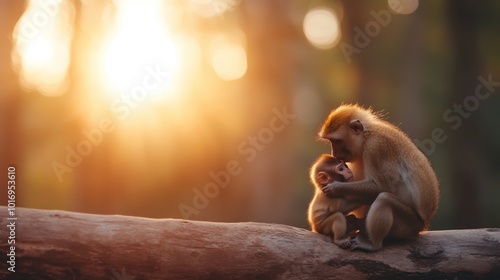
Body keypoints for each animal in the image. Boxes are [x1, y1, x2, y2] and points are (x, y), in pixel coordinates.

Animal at [318, 104, 440, 252]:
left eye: (336, 141)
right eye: (331, 141)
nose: (333, 152)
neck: (366, 136)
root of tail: (423, 224)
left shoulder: (376, 147)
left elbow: (383, 187)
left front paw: (336, 188)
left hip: (409, 224)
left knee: (384, 199)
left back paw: (373, 244)